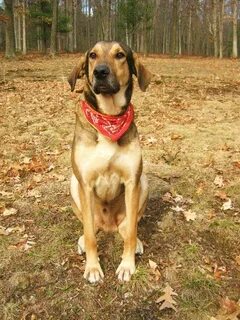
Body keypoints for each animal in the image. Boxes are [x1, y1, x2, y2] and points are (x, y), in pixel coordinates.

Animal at [67, 40, 152, 282]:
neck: (109, 117)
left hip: (143, 183)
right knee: (90, 228)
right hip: (74, 183)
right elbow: (90, 236)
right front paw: (93, 268)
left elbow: (131, 232)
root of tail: (109, 227)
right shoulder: (85, 183)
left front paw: (127, 265)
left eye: (120, 55)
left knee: (128, 226)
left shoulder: (132, 181)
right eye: (93, 55)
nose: (100, 72)